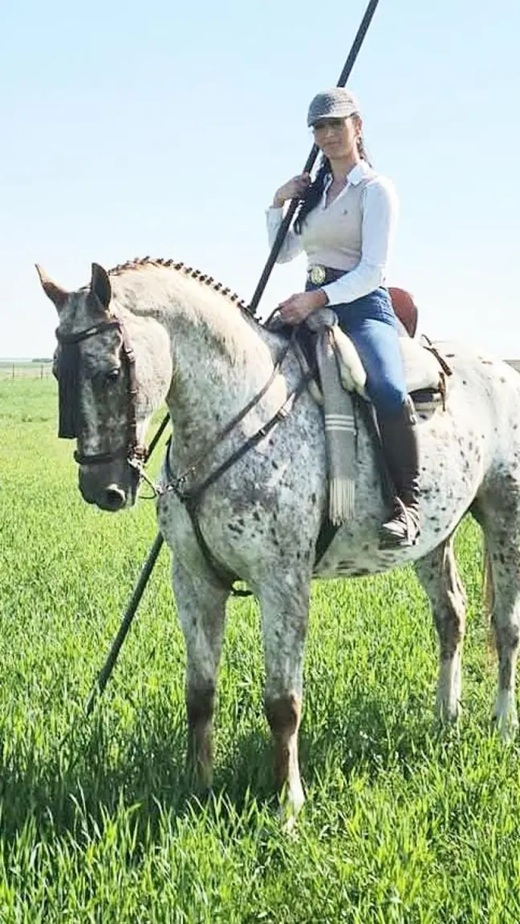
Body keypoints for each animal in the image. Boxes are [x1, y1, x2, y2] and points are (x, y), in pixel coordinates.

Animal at [37, 257, 520, 827]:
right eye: (57, 372)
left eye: (110, 374)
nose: (101, 489)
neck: (234, 415)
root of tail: (499, 368)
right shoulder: (194, 581)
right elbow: (200, 692)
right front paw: (197, 786)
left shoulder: (282, 584)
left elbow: (283, 703)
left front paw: (288, 805)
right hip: (432, 538)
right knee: (451, 615)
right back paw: (447, 715)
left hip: (505, 518)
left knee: (505, 626)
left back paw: (501, 725)